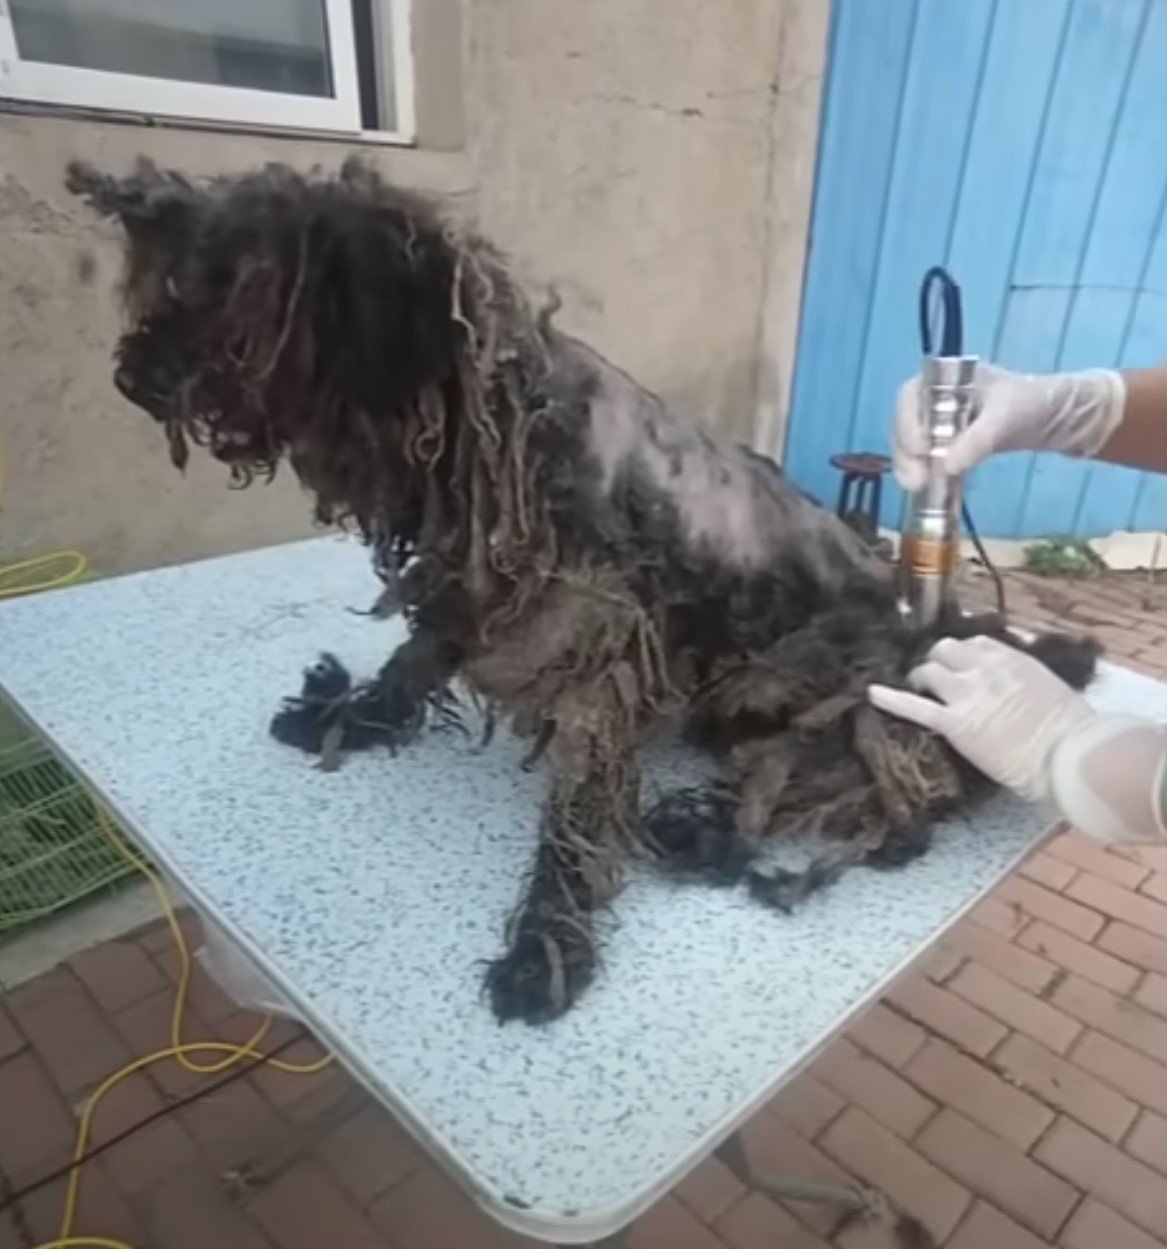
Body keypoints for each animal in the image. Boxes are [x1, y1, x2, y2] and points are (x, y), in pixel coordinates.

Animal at [66, 158, 1104, 1024]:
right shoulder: (465, 590)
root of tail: (940, 627)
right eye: (173, 277)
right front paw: (350, 715)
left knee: (879, 788)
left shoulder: (608, 655)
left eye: (242, 292)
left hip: (796, 685)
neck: (510, 433)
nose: (130, 378)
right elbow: (411, 662)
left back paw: (716, 825)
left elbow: (573, 815)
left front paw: (545, 945)